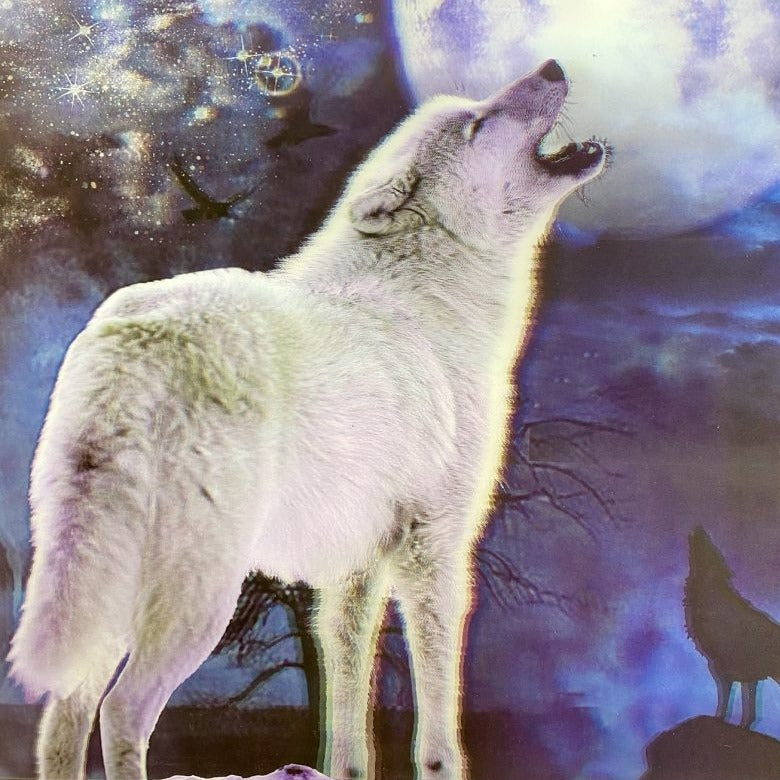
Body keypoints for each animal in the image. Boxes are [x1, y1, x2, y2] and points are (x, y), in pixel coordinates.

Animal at [9, 59, 606, 780]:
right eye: (478, 123)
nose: (552, 65)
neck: (429, 292)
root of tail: (130, 336)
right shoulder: (435, 547)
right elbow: (438, 714)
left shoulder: (352, 573)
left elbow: (346, 706)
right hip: (200, 598)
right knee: (121, 710)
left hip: (107, 589)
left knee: (62, 718)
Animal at [685, 526, 780, 729]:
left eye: (710, 548)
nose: (698, 528)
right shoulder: (742, 674)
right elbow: (747, 711)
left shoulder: (726, 670)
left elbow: (726, 705)